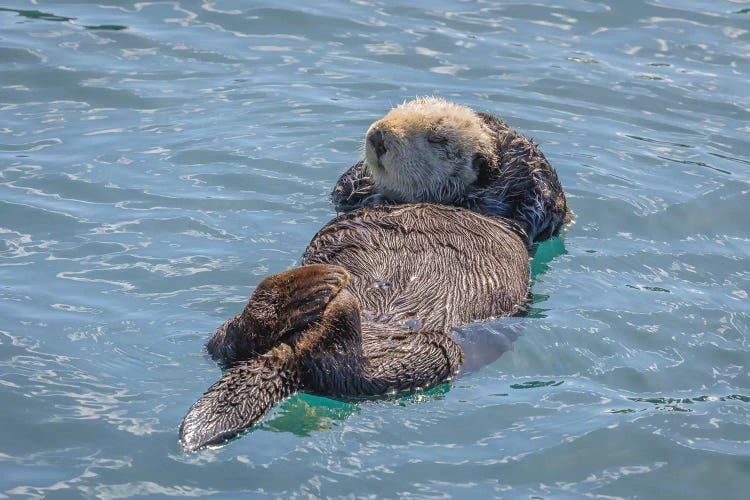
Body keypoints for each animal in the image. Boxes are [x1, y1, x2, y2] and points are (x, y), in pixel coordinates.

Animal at [181, 98, 568, 454]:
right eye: (394, 112)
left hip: (430, 355)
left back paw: (331, 303)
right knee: (232, 341)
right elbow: (347, 184)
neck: (456, 200)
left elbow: (542, 190)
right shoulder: (351, 196)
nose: (379, 135)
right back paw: (309, 290)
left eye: (437, 139)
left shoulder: (534, 216)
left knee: (346, 370)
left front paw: (494, 141)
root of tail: (294, 351)